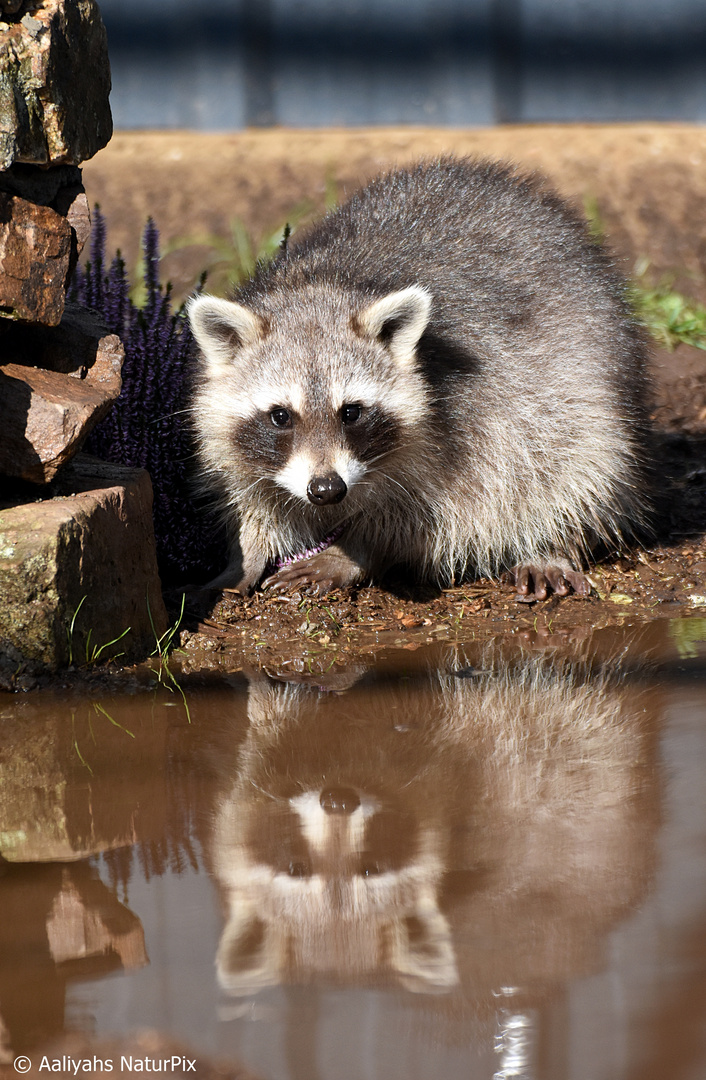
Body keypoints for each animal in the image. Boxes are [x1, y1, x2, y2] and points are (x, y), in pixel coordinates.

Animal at [187, 156, 652, 600]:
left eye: (351, 412)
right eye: (280, 416)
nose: (326, 489)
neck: (319, 285)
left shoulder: (467, 423)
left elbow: (431, 514)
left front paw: (351, 551)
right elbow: (253, 499)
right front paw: (245, 555)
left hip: (586, 380)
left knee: (576, 462)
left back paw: (551, 543)